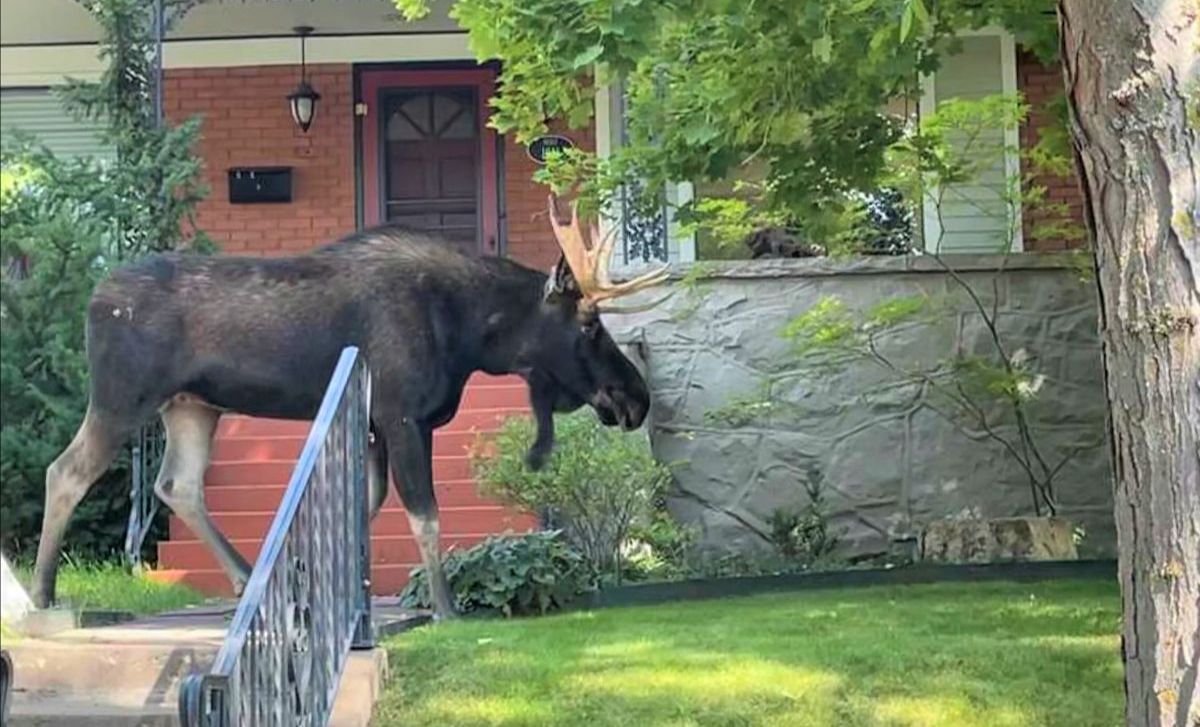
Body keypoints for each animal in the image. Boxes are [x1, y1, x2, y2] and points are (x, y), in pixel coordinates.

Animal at [29, 197, 669, 619]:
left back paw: (245, 577)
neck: (471, 334)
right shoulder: (402, 415)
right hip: (122, 397)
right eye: (589, 324)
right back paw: (43, 593)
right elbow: (423, 514)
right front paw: (445, 608)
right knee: (66, 471)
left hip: (192, 406)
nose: (636, 398)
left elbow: (362, 507)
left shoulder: (373, 426)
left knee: (177, 484)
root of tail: (94, 299)